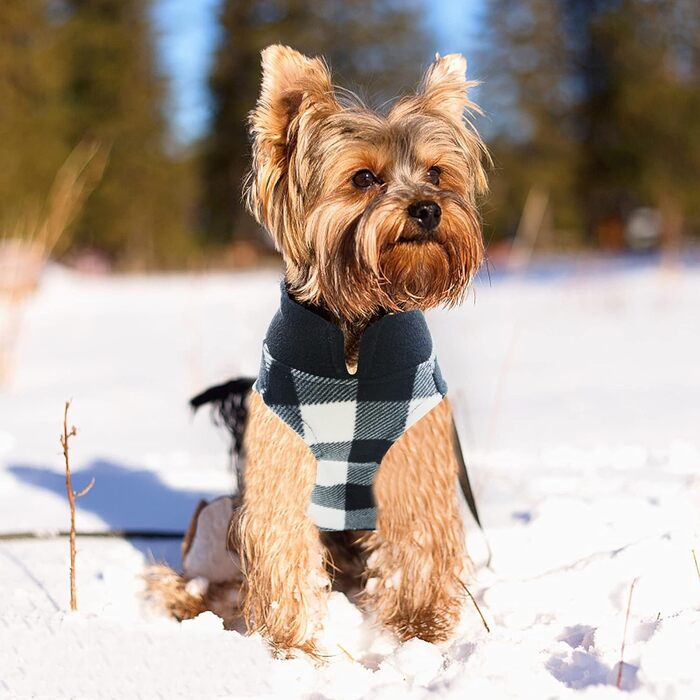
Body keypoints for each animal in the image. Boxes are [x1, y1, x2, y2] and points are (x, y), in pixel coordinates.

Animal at [227, 45, 490, 656]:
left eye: (436, 172)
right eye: (364, 178)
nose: (427, 208)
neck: (355, 329)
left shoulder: (413, 455)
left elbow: (418, 535)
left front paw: (419, 632)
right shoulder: (283, 460)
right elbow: (284, 544)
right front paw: (290, 646)